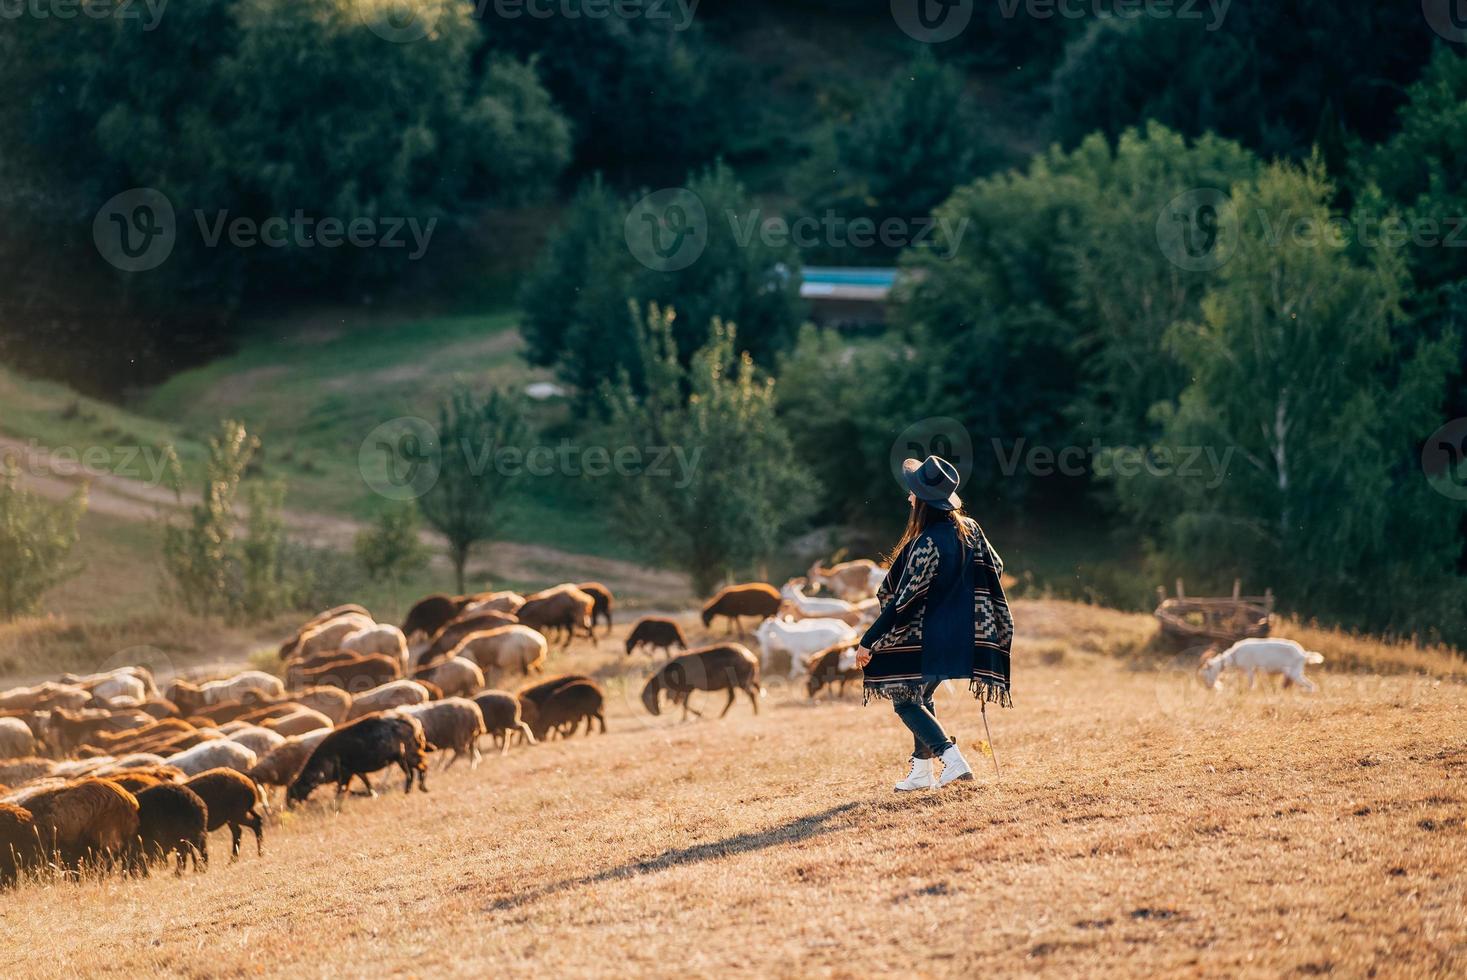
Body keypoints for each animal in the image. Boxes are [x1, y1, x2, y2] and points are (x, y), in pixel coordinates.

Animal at [283, 712, 428, 803]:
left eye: (298, 788)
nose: (289, 805)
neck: (328, 758)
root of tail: (412, 721)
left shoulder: (346, 775)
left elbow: (342, 790)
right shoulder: (357, 771)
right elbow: (368, 786)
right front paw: (369, 794)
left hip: (407, 756)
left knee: (419, 768)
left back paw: (419, 787)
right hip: (406, 757)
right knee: (415, 771)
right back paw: (413, 789)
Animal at [1202, 636, 1332, 689]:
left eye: (1207, 673)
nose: (1208, 687)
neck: (1234, 655)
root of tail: (1303, 654)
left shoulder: (1249, 669)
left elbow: (1250, 684)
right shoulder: (1250, 671)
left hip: (1295, 672)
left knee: (1311, 685)